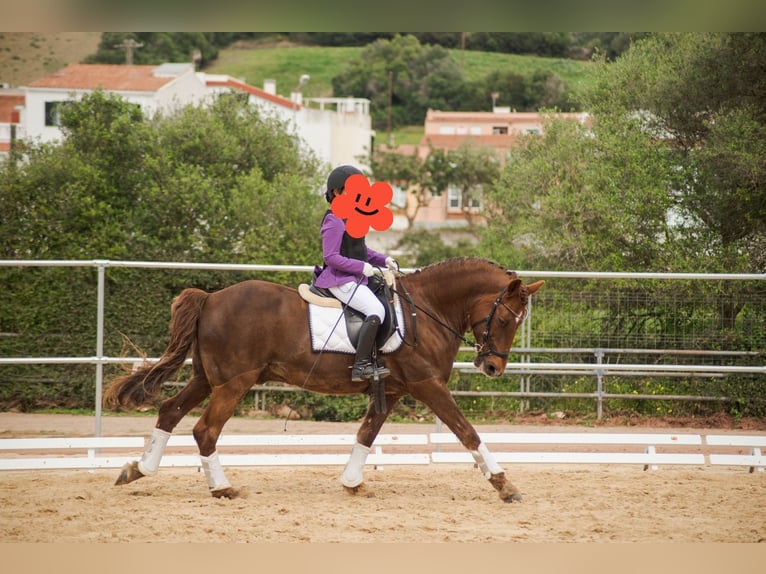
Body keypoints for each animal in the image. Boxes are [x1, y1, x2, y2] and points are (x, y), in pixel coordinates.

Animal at [104, 257, 544, 503]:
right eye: (505, 320)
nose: (493, 368)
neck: (427, 309)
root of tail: (211, 297)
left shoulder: (393, 390)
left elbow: (366, 434)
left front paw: (353, 483)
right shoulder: (427, 386)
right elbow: (468, 432)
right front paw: (504, 485)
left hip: (208, 378)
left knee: (169, 411)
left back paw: (138, 470)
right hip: (234, 383)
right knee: (204, 430)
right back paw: (222, 488)